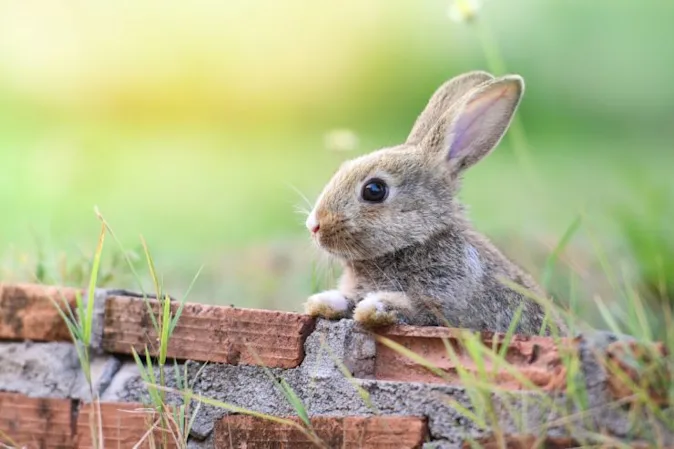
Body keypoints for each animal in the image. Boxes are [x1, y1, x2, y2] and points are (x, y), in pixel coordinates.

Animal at [303, 70, 558, 335]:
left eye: (374, 190)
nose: (314, 225)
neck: (418, 240)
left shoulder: (444, 301)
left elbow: (412, 308)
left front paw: (374, 307)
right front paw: (323, 302)